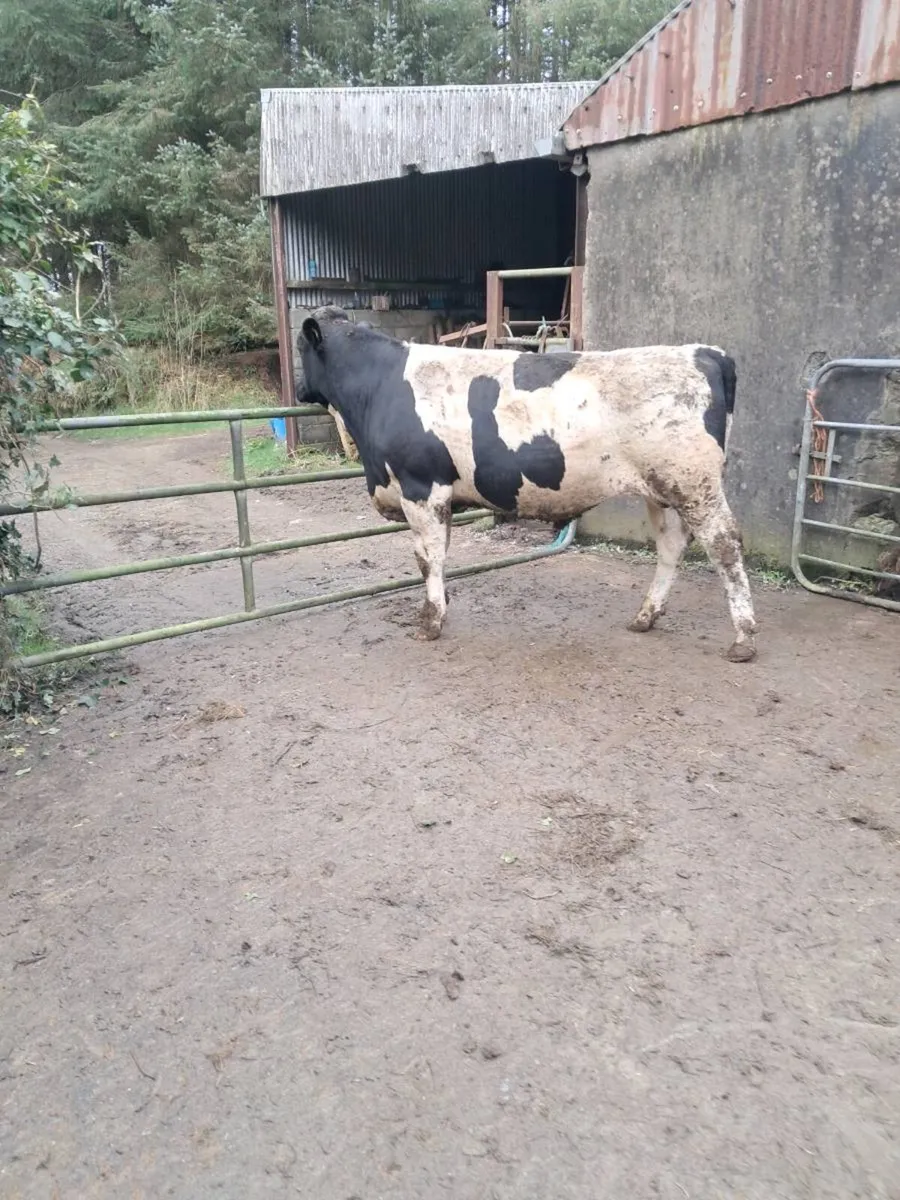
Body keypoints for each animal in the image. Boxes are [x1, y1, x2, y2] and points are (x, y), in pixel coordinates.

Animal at [296, 306, 757, 662]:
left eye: (300, 347)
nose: (298, 387)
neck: (379, 386)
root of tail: (705, 352)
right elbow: (441, 555)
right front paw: (442, 607)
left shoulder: (421, 487)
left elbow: (428, 558)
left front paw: (429, 622)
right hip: (663, 489)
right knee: (671, 546)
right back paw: (645, 616)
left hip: (694, 484)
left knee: (725, 545)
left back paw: (743, 638)